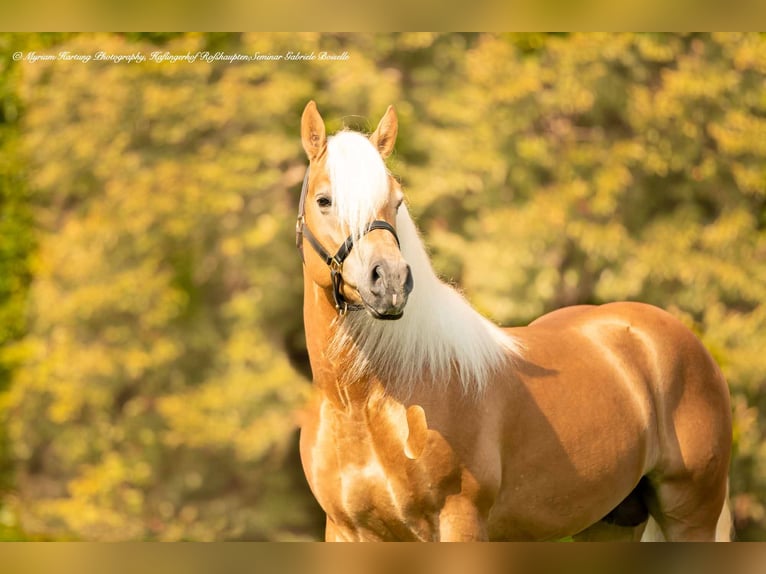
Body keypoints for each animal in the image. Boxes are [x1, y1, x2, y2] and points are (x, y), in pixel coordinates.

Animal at [296, 100, 736, 544]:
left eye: (397, 201)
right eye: (324, 200)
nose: (390, 281)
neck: (366, 404)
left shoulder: (461, 522)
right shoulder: (345, 531)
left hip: (691, 516)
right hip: (610, 521)